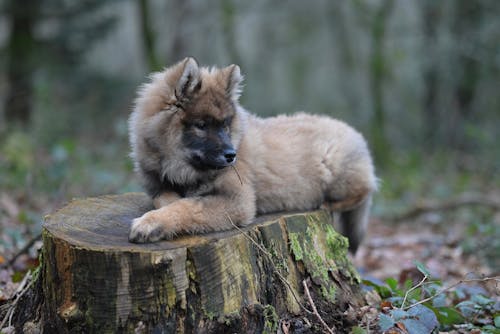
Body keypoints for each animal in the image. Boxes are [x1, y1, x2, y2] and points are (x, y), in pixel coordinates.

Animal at [127, 57, 376, 252]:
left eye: (225, 124)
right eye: (201, 125)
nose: (231, 155)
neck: (183, 168)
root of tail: (356, 135)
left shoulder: (238, 200)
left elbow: (188, 206)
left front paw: (151, 223)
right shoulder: (158, 186)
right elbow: (171, 201)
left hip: (335, 167)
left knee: (363, 192)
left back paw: (327, 204)